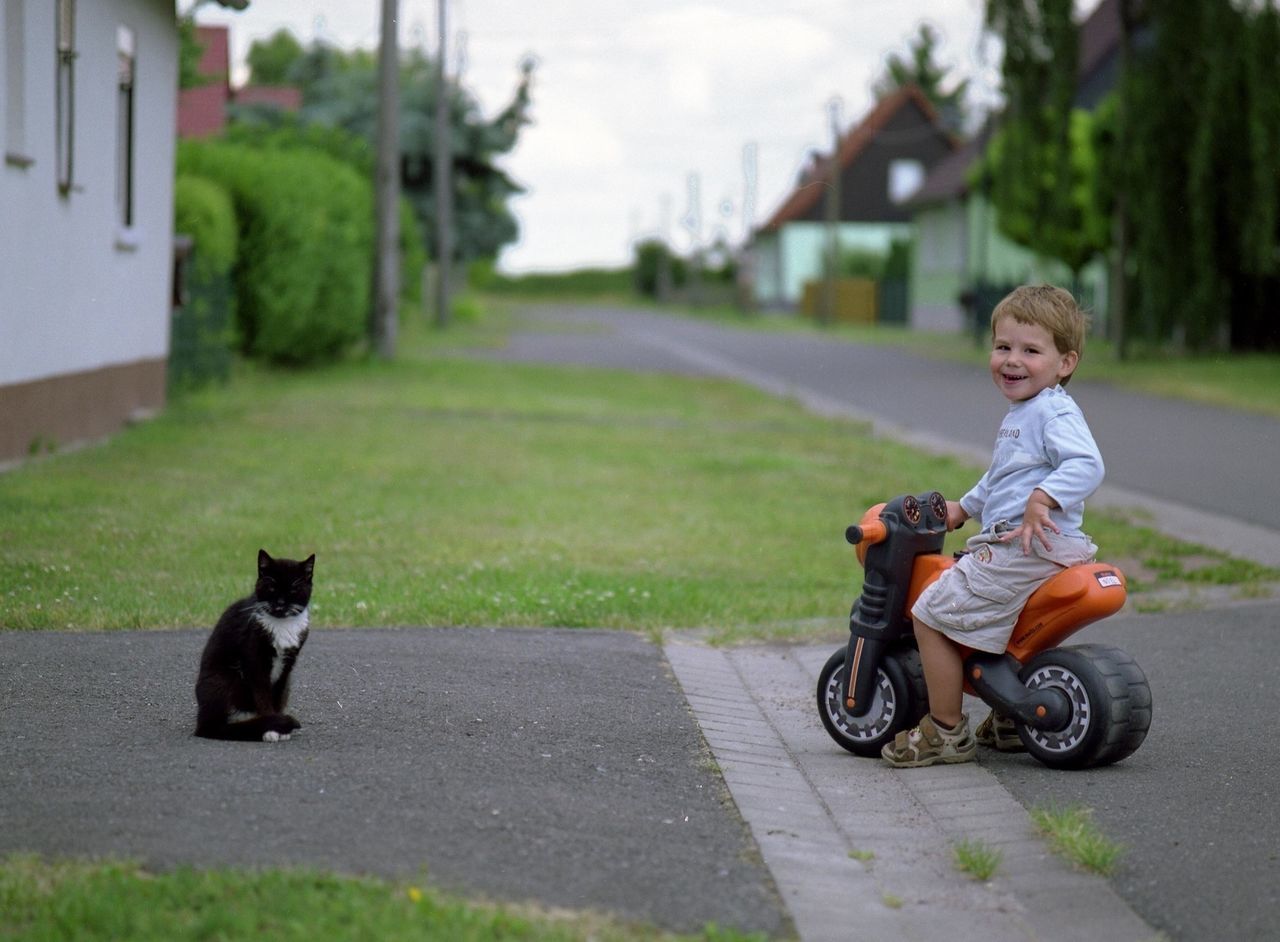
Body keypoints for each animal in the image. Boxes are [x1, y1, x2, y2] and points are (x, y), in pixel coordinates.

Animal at [194, 552, 314, 742]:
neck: (281, 624)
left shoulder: (287, 666)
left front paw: (280, 728)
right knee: (212, 728)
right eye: (271, 587)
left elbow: (277, 696)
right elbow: (263, 697)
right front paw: (272, 729)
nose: (280, 603)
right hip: (222, 679)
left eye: (293, 590)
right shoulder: (255, 660)